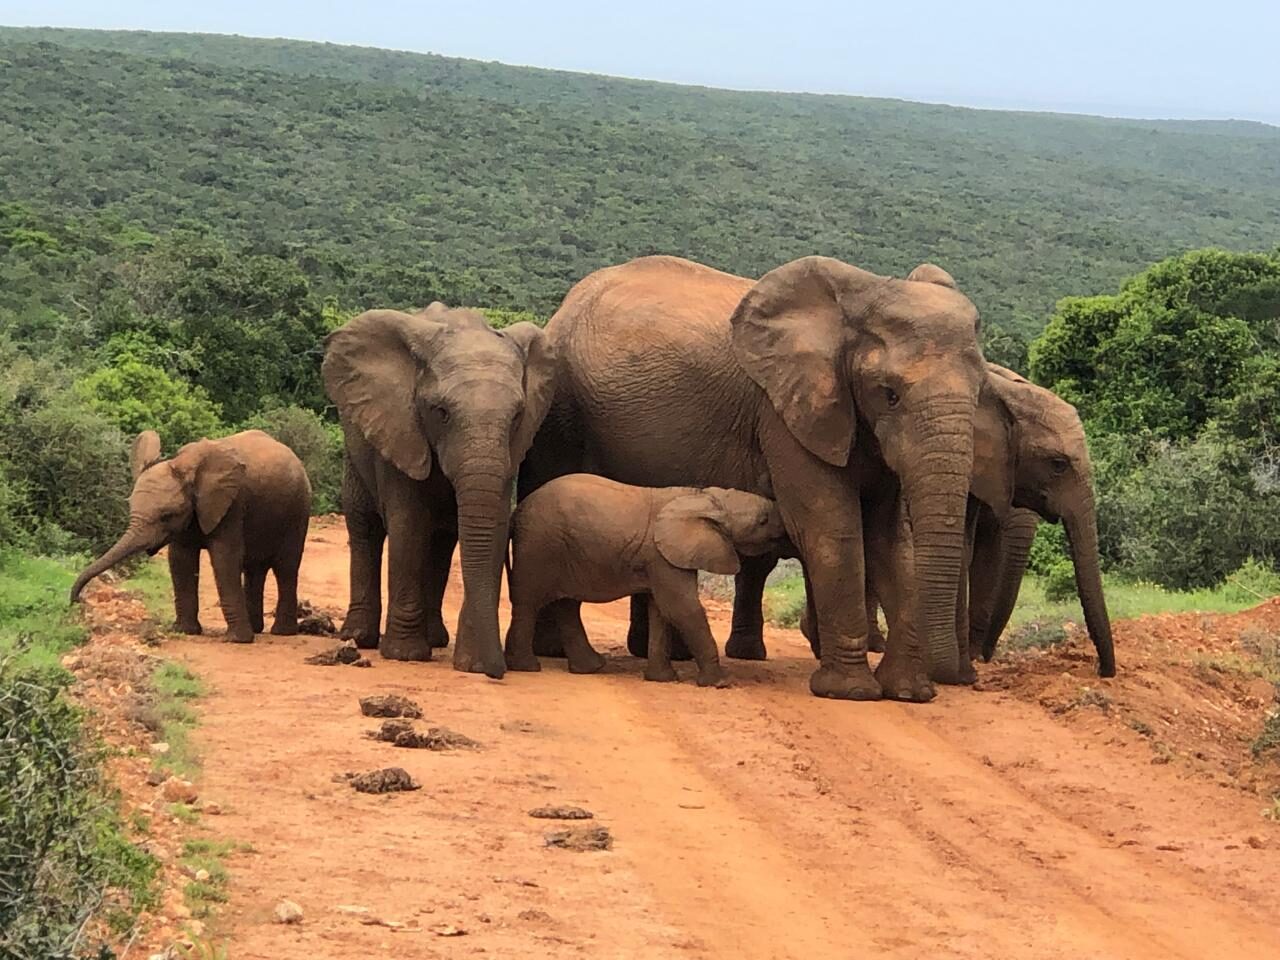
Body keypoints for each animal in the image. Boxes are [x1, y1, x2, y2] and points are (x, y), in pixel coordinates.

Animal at [70, 430, 311, 643]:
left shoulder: (231, 505)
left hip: (298, 511)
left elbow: (224, 560)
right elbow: (180, 560)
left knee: (286, 567)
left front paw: (237, 640)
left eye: (167, 516)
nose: (77, 601)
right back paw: (257, 628)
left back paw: (282, 632)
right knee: (255, 569)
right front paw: (185, 631)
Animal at [321, 304, 556, 678]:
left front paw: (472, 665)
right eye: (441, 413)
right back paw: (358, 638)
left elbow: (489, 527)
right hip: (354, 443)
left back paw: (436, 639)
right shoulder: (401, 427)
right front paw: (404, 655)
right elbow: (409, 525)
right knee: (365, 529)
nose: (500, 670)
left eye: (518, 416)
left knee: (442, 542)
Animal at [504, 474, 790, 686]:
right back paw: (527, 667)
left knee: (567, 605)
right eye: (763, 521)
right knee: (529, 603)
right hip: (538, 544)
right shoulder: (662, 556)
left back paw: (591, 667)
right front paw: (720, 683)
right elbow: (681, 608)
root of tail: (516, 513)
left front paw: (663, 679)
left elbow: (661, 610)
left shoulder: (662, 559)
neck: (704, 497)